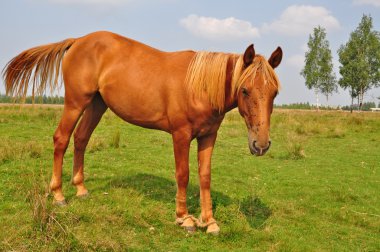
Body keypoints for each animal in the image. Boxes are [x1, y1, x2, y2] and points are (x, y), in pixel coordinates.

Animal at [2, 31, 282, 234]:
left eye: (274, 93)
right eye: (244, 89)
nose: (261, 145)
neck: (199, 86)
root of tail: (77, 41)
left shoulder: (208, 136)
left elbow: (205, 176)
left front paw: (209, 221)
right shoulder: (181, 134)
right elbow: (183, 174)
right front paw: (185, 219)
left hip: (97, 104)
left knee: (81, 139)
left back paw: (81, 189)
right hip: (75, 102)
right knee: (61, 139)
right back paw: (58, 194)